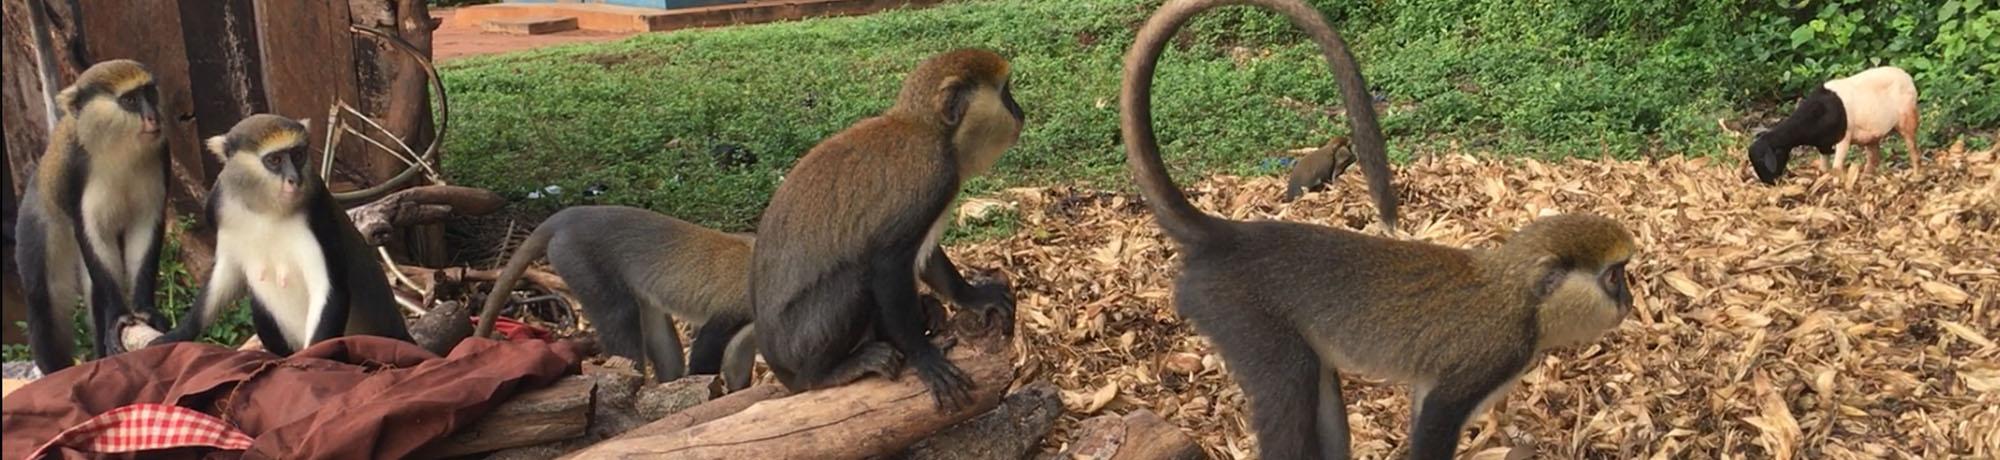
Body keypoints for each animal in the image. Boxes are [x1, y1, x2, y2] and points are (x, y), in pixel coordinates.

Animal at [15, 59, 172, 374]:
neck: (119, 149)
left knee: (94, 295)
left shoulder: (161, 154)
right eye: (130, 101)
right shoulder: (75, 168)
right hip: (41, 213)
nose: (153, 118)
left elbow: (145, 229)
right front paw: (121, 316)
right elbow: (92, 231)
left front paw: (145, 311)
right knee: (43, 296)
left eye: (150, 93)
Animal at [148, 114, 413, 357]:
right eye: (274, 160)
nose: (294, 179)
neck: (265, 210)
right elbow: (225, 275)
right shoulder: (218, 207)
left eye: (297, 155)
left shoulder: (318, 214)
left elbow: (329, 289)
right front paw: (177, 334)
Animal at [752, 48, 1023, 412]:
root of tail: (779, 369)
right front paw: (924, 357)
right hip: (801, 344)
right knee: (856, 275)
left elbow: (928, 257)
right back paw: (824, 374)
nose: (1019, 111)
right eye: (1006, 93)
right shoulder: (934, 178)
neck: (928, 130)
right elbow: (887, 265)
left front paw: (972, 296)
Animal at [1120, 1, 1637, 459]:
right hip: (1234, 311)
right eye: (1615, 276)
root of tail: (1230, 236)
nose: (1629, 302)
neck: (1518, 295)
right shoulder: (1490, 355)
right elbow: (1436, 420)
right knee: (1290, 377)